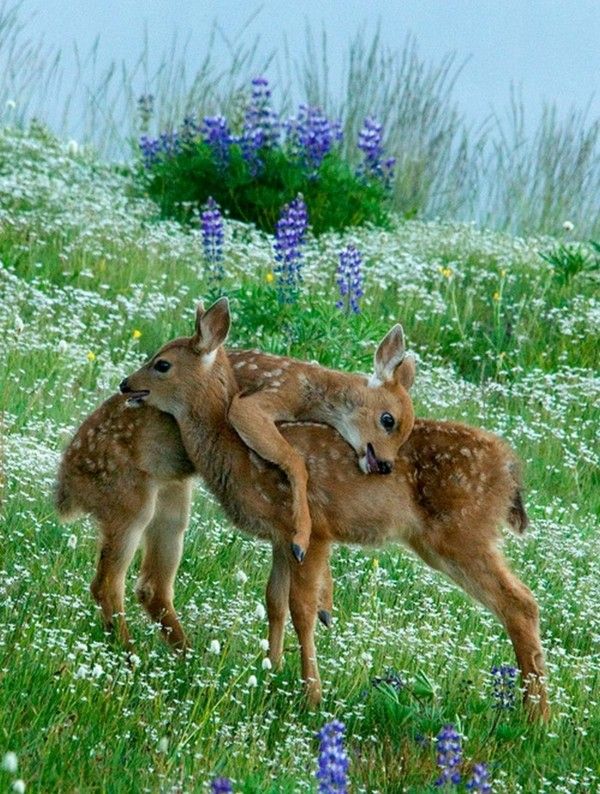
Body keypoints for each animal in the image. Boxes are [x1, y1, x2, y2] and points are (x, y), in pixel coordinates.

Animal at [55, 296, 548, 716]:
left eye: (162, 364)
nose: (127, 384)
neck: (232, 450)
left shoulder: (316, 533)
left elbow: (300, 608)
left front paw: (311, 693)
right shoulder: (281, 537)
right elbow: (275, 600)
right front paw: (273, 671)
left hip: (459, 535)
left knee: (520, 603)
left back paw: (536, 715)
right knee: (138, 583)